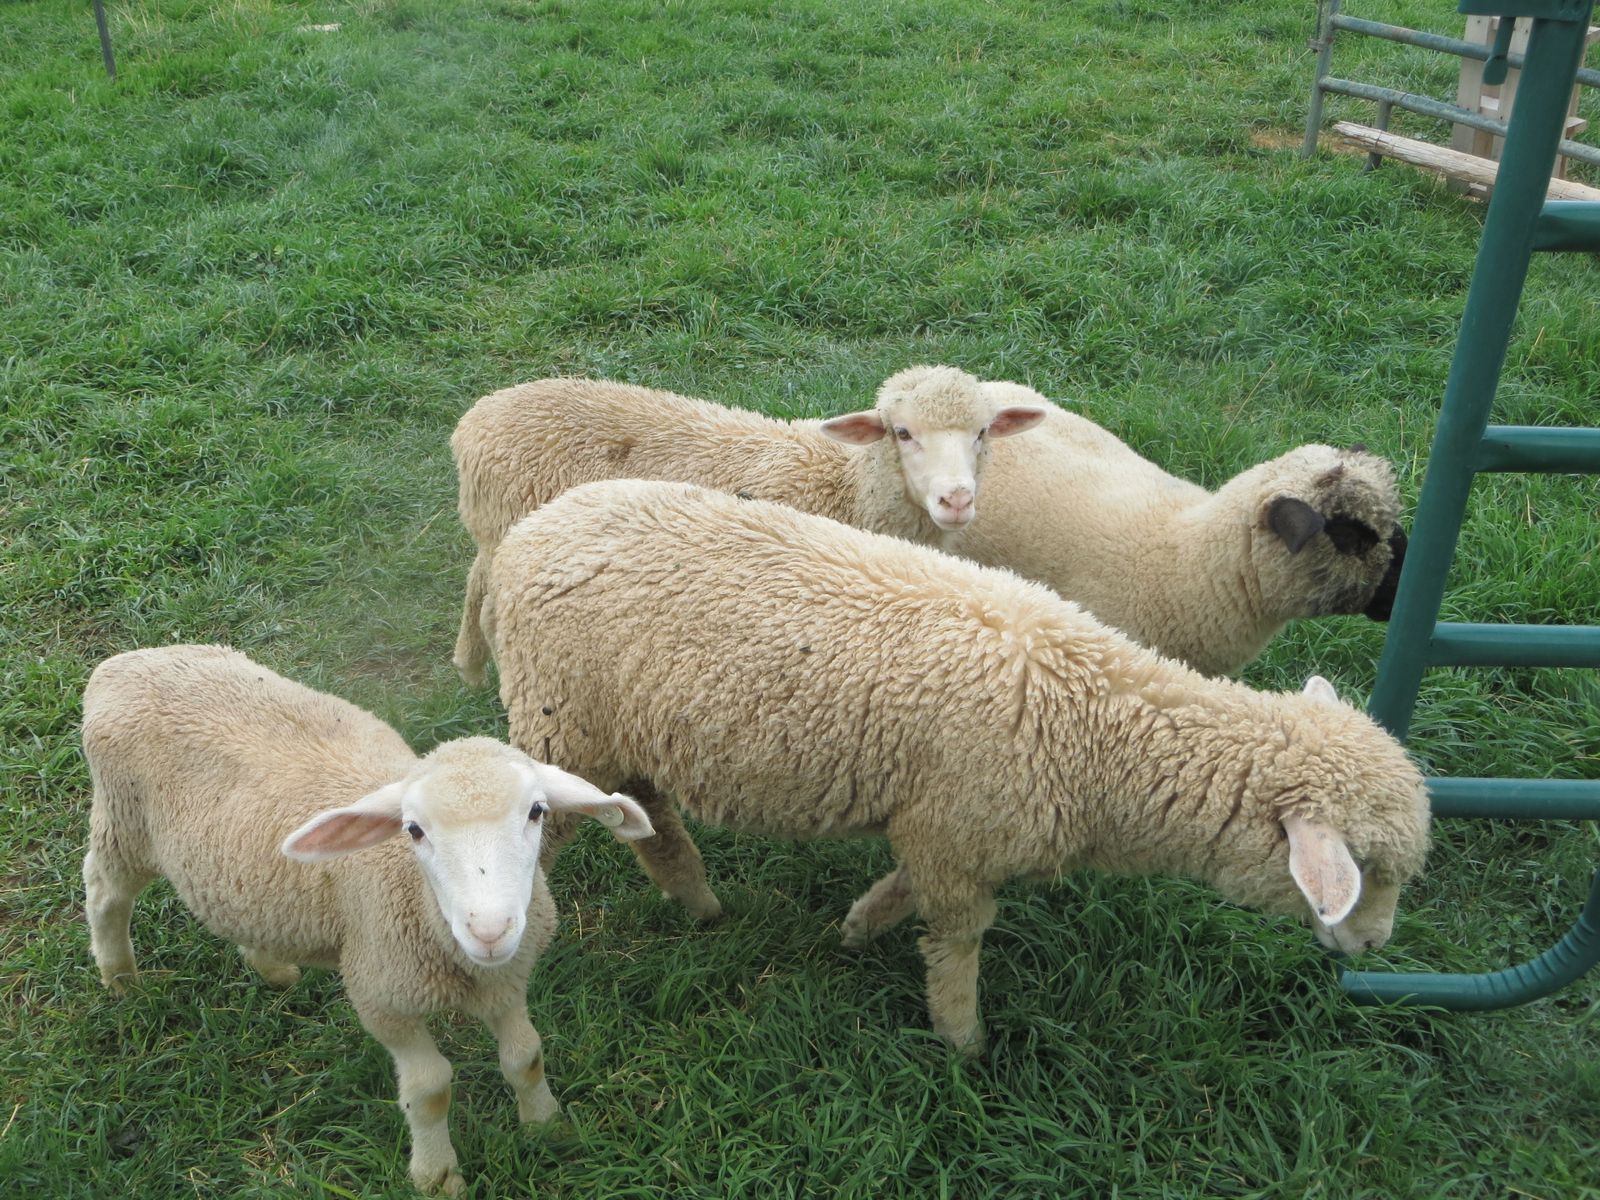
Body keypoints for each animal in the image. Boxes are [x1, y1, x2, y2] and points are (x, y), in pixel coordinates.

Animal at [81, 644, 653, 1195]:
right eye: (414, 829)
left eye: (536, 811)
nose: (489, 931)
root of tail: (124, 664)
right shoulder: (382, 994)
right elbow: (429, 1089)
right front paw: (437, 1175)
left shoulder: (508, 979)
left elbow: (525, 1056)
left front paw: (546, 1127)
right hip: (124, 823)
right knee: (104, 892)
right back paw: (121, 979)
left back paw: (272, 967)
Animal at [449, 366, 1048, 686]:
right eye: (901, 433)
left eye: (982, 432)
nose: (956, 499)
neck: (846, 484)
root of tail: (479, 415)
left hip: (497, 531)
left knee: (476, 582)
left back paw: (469, 666)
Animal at [487, 480, 1431, 1053]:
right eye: (1366, 869)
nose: (1377, 945)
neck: (1097, 726)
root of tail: (529, 532)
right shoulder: (960, 837)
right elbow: (958, 945)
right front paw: (963, 1044)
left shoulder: (949, 832)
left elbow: (906, 893)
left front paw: (858, 928)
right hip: (560, 718)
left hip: (618, 729)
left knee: (651, 822)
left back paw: (702, 907)